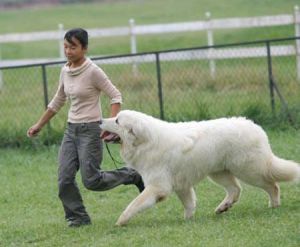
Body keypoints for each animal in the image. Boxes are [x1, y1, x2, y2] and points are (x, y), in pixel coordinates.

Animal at [100, 110, 300, 226]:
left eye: (117, 121)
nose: (100, 120)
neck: (145, 142)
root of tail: (254, 126)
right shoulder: (181, 184)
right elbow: (189, 203)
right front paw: (188, 221)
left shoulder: (158, 187)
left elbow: (134, 204)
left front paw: (121, 221)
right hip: (219, 172)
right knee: (235, 189)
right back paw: (223, 207)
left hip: (250, 171)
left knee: (272, 185)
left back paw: (274, 205)